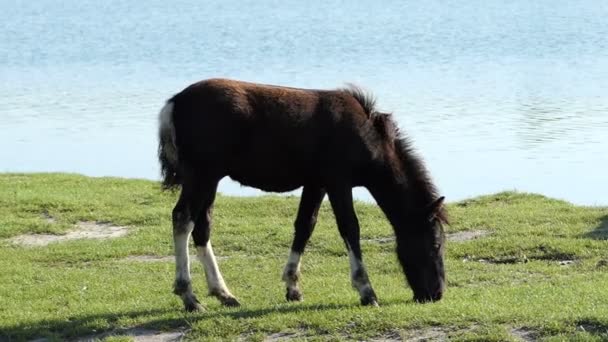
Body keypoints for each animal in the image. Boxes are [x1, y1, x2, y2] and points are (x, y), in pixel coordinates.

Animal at [158, 79, 446, 312]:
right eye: (435, 244)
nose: (436, 293)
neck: (366, 135)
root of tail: (175, 102)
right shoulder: (338, 183)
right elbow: (350, 228)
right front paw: (366, 290)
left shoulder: (315, 184)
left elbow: (305, 226)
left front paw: (292, 287)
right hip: (202, 176)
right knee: (183, 219)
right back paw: (189, 296)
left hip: (211, 179)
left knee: (202, 226)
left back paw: (223, 293)